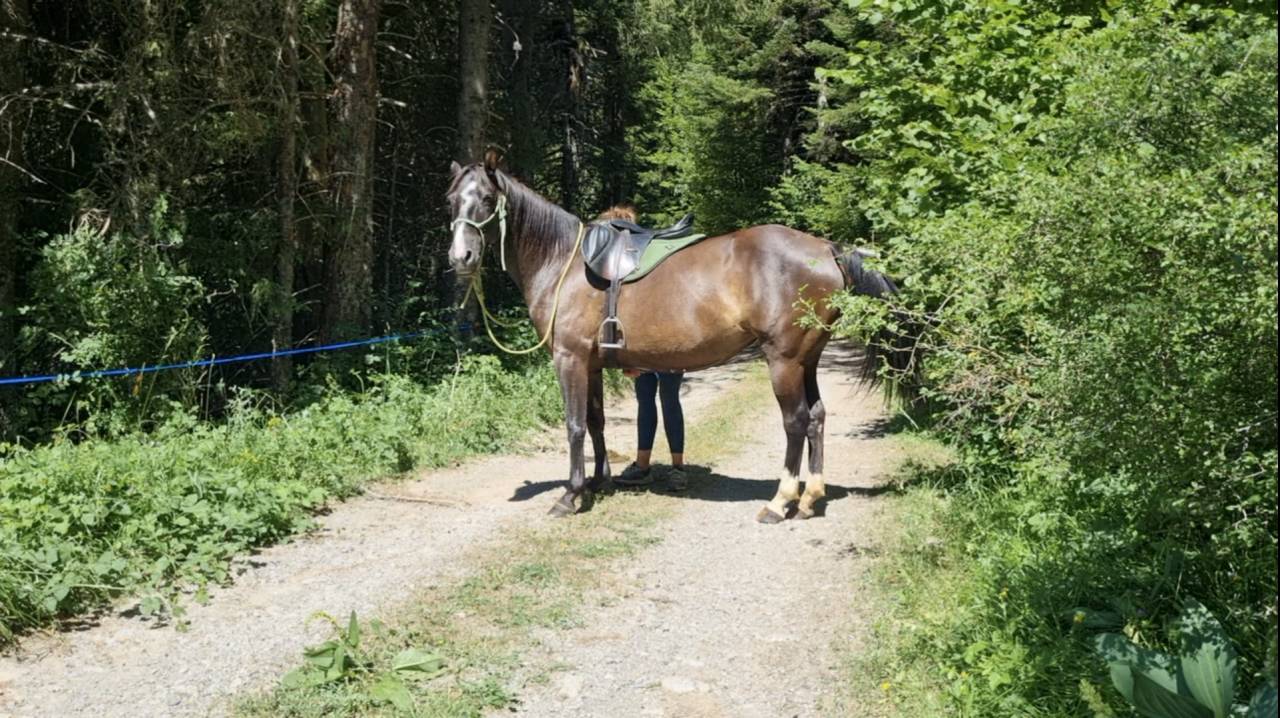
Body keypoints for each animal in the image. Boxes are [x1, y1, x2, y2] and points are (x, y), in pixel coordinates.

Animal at [446, 155, 916, 523]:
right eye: (452, 200)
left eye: (486, 199)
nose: (460, 257)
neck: (563, 262)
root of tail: (828, 249)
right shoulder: (592, 364)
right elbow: (596, 422)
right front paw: (600, 483)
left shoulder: (569, 358)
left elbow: (575, 425)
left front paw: (570, 495)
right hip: (809, 359)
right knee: (816, 416)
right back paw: (810, 497)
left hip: (783, 360)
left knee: (796, 421)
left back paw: (779, 502)